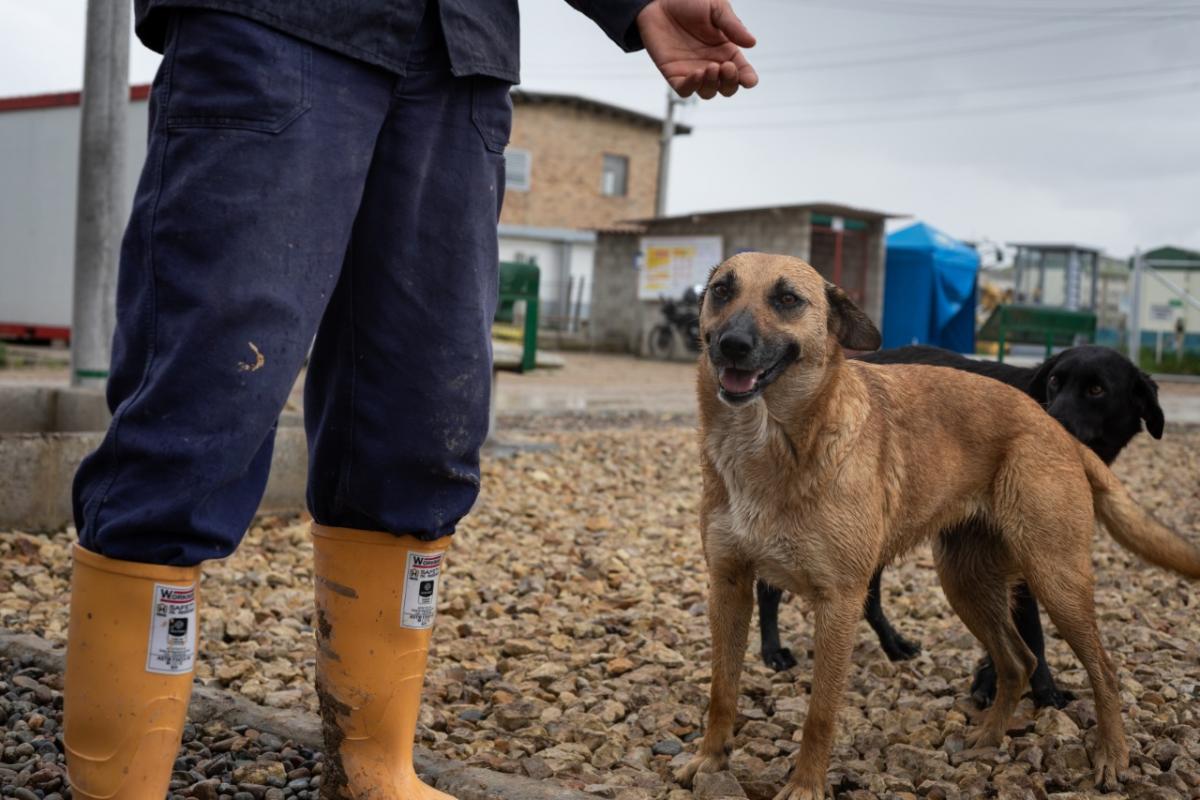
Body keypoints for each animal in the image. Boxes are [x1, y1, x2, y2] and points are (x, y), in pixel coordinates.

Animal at [758, 345, 1161, 705]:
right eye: (1054, 383)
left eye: (1096, 390)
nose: (1050, 426)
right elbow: (1032, 632)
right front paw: (1041, 691)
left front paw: (994, 680)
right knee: (769, 586)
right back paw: (773, 650)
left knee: (868, 594)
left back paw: (894, 644)